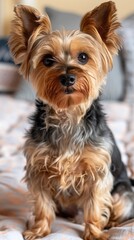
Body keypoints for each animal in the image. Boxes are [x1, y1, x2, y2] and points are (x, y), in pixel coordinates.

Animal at [8, 1, 134, 240]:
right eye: (48, 60)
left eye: (83, 57)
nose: (67, 77)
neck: (68, 115)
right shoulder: (38, 170)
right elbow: (42, 205)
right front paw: (38, 230)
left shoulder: (97, 172)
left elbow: (95, 206)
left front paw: (95, 233)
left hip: (124, 192)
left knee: (119, 207)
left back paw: (110, 224)